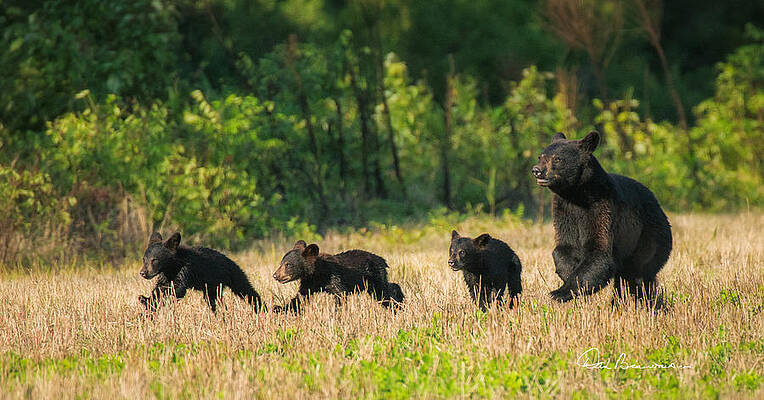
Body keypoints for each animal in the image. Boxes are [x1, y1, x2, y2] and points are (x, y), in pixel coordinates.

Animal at [272, 240, 404, 313]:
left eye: (288, 265)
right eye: (281, 263)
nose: (275, 275)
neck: (318, 273)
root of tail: (382, 260)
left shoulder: (334, 277)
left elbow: (340, 294)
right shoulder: (308, 283)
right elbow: (300, 298)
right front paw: (278, 308)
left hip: (375, 278)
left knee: (384, 293)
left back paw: (398, 305)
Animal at [531, 131, 672, 304]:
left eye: (557, 158)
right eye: (541, 156)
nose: (537, 170)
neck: (576, 194)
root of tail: (658, 204)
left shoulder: (601, 207)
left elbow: (600, 250)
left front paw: (559, 292)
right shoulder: (564, 211)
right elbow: (565, 246)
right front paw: (568, 272)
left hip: (648, 236)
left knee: (638, 276)